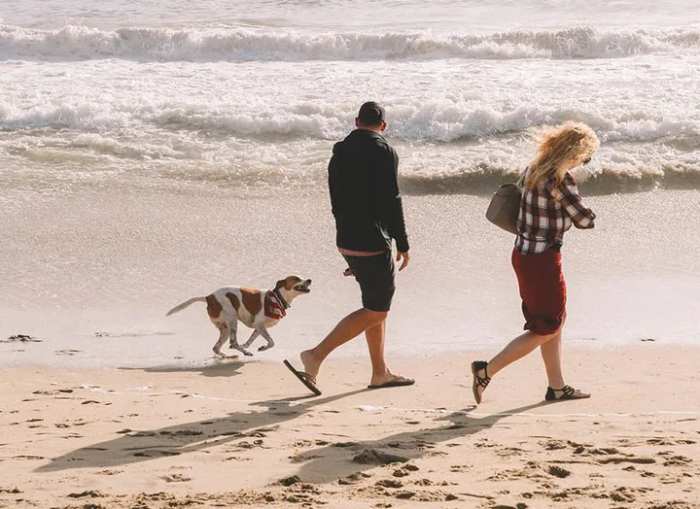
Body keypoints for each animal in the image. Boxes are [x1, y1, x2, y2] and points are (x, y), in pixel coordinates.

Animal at [165, 276, 310, 356]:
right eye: (296, 278)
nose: (310, 280)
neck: (277, 298)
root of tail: (208, 297)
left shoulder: (258, 328)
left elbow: (251, 340)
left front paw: (248, 345)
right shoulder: (260, 325)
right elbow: (271, 342)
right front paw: (262, 348)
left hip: (225, 328)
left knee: (216, 347)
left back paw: (226, 356)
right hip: (232, 321)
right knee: (233, 342)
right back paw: (244, 353)